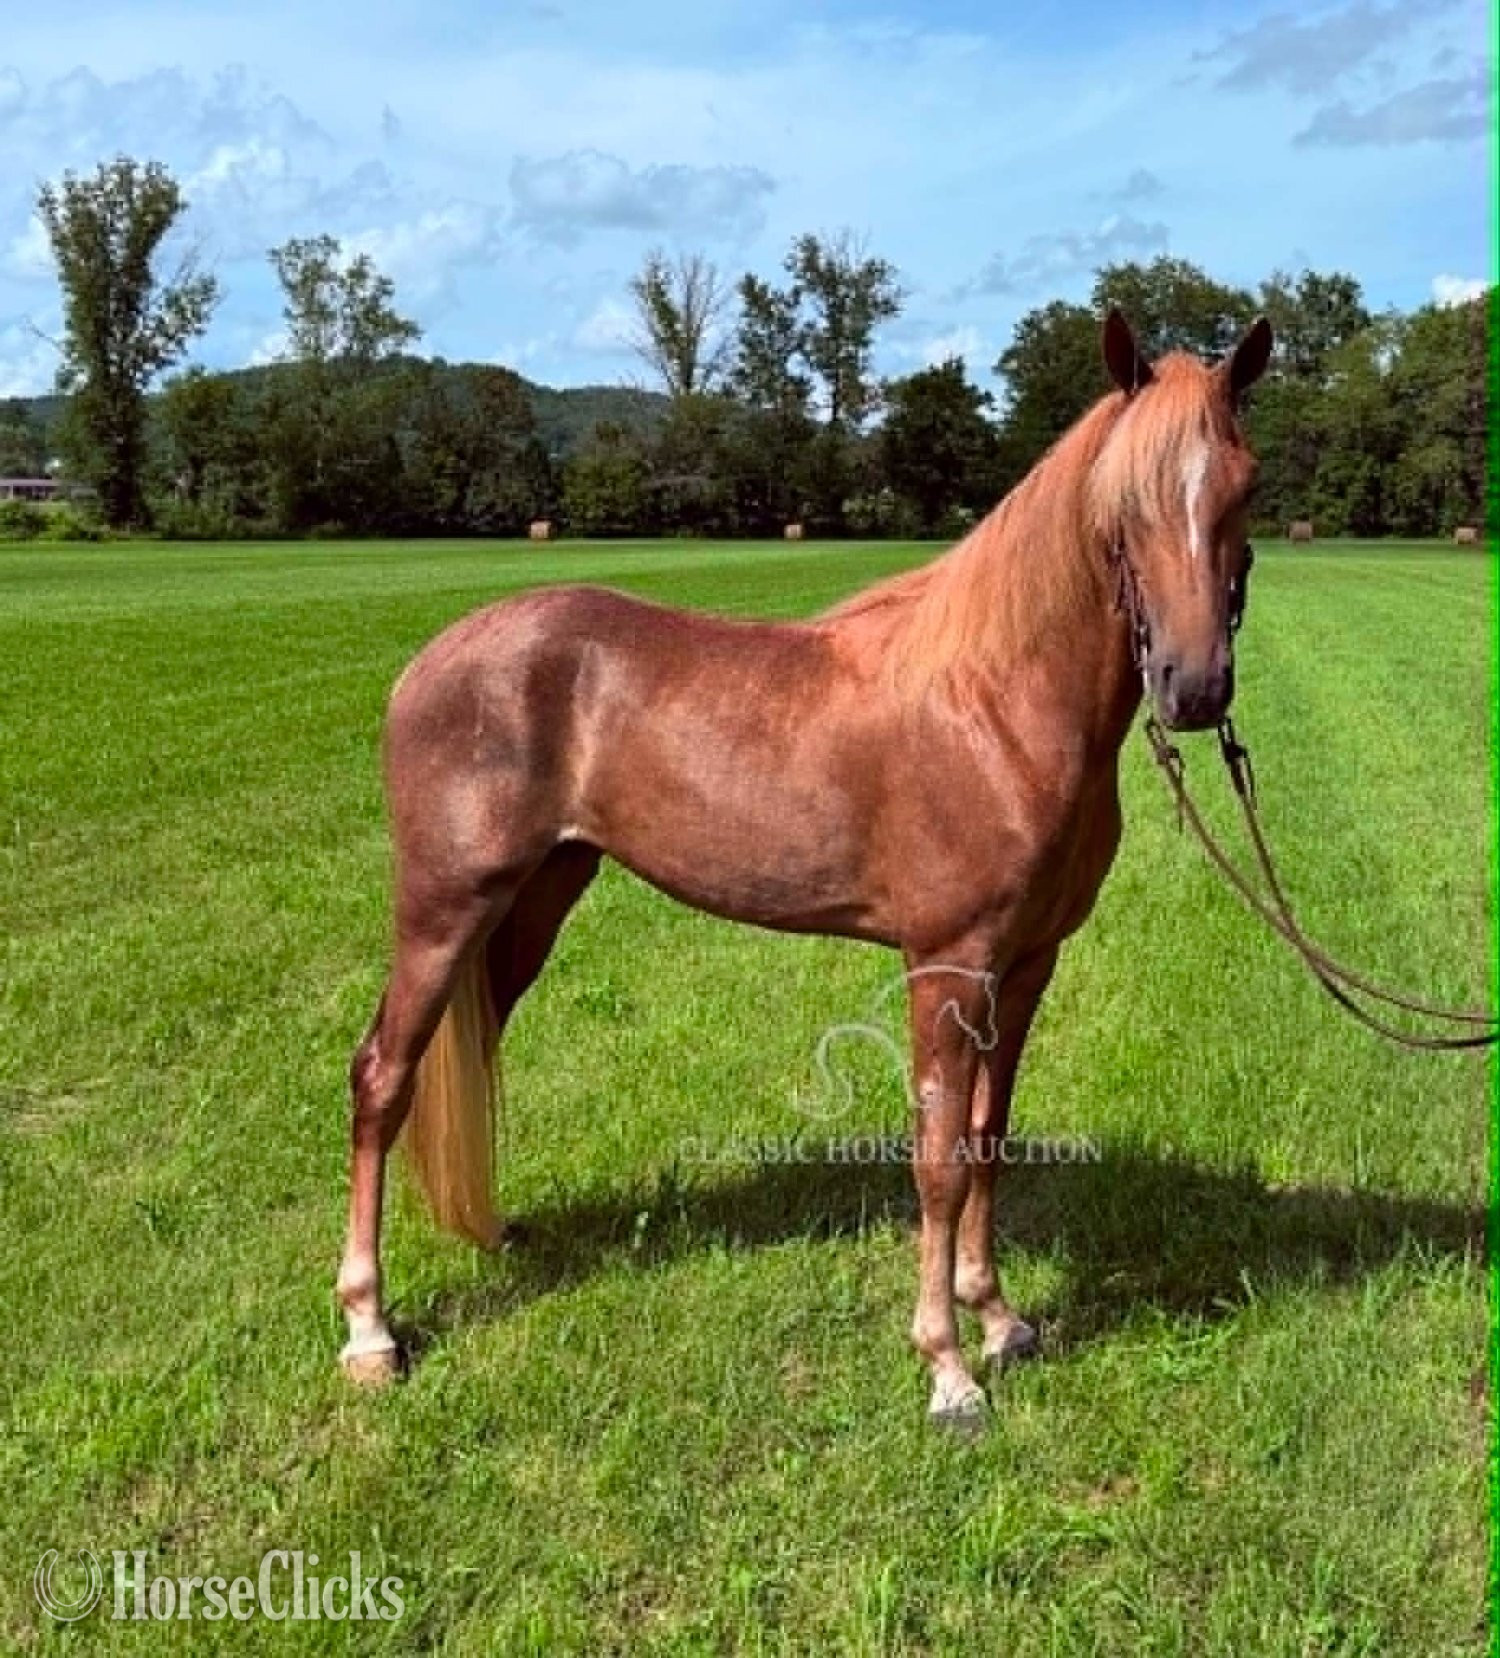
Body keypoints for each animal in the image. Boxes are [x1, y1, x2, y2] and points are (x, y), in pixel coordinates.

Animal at [336, 308, 1274, 1431]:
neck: (994, 700)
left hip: (531, 906)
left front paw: (999, 1318)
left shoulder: (1026, 964)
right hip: (443, 908)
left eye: (1246, 484)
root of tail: (426, 666)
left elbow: (990, 1137)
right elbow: (939, 1157)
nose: (1194, 686)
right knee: (382, 1076)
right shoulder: (947, 966)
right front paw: (948, 1369)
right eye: (1127, 500)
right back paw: (370, 1330)